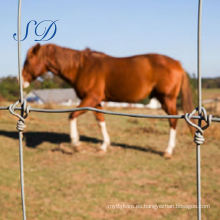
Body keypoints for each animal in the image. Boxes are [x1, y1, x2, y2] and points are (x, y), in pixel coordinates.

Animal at [22, 43, 193, 158]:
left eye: (29, 60)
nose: (22, 81)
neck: (81, 67)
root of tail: (177, 63)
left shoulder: (91, 98)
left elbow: (72, 115)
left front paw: (76, 144)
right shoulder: (96, 101)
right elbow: (100, 121)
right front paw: (104, 146)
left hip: (167, 99)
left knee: (173, 121)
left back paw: (168, 151)